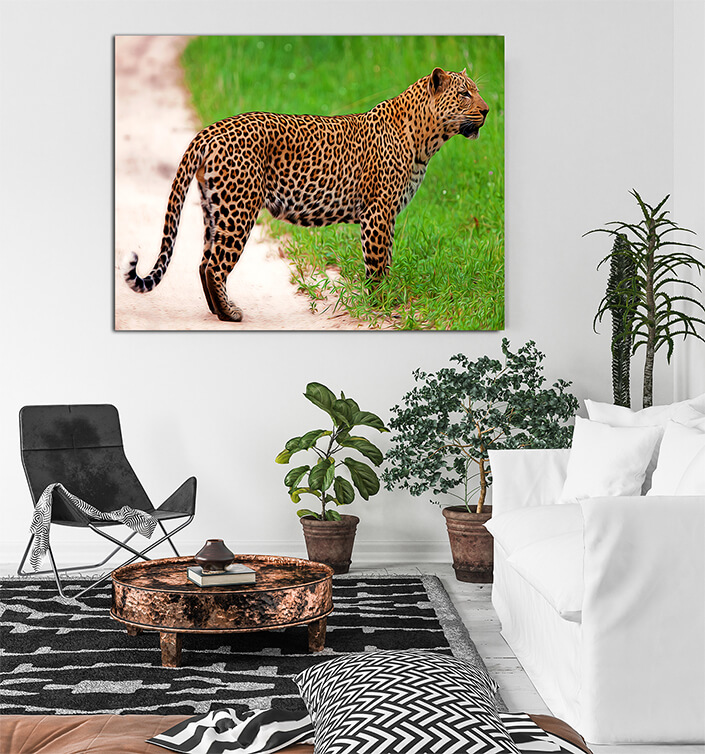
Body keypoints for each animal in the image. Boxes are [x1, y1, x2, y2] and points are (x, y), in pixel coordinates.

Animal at [123, 67, 489, 322]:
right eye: (464, 94)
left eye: (475, 92)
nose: (487, 110)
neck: (427, 139)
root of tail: (210, 130)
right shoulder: (378, 212)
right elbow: (377, 264)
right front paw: (381, 303)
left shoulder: (387, 214)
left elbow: (385, 259)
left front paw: (385, 298)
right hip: (239, 209)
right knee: (214, 265)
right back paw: (230, 314)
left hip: (215, 208)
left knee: (203, 262)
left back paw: (218, 310)